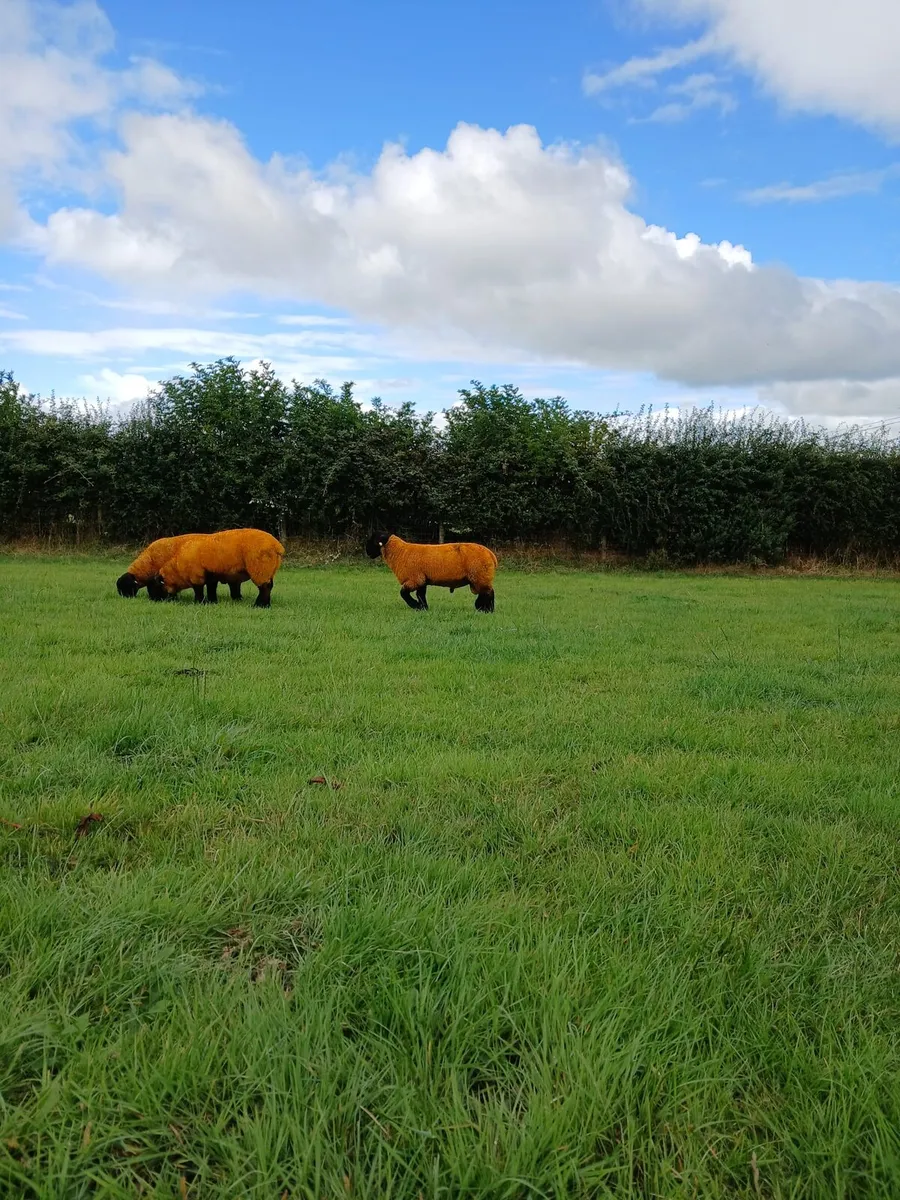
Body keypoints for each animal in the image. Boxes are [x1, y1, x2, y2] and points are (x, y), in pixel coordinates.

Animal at [151, 528, 285, 608]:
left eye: (161, 585)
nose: (158, 600)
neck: (178, 567)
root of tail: (276, 546)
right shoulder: (211, 575)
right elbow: (211, 589)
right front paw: (212, 602)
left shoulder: (196, 575)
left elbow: (198, 590)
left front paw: (199, 603)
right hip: (269, 570)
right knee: (269, 586)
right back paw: (266, 604)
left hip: (260, 569)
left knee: (264, 588)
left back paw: (260, 605)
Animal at [365, 532, 497, 612]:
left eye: (373, 540)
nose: (367, 552)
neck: (400, 552)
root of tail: (491, 554)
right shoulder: (422, 579)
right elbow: (421, 595)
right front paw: (423, 608)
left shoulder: (415, 578)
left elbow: (403, 593)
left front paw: (415, 605)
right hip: (479, 578)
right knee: (485, 593)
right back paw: (481, 608)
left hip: (480, 576)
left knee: (489, 593)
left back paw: (488, 610)